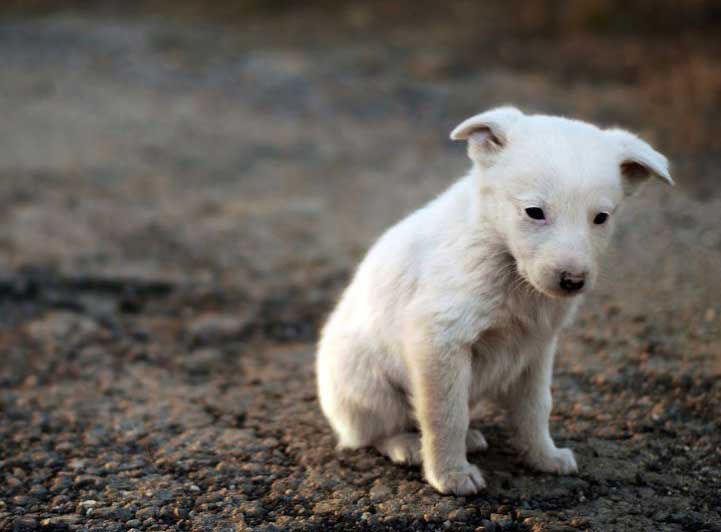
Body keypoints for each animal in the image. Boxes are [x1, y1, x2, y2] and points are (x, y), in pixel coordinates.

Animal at [316, 106, 668, 496]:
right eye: (534, 212)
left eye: (601, 218)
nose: (573, 282)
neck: (505, 260)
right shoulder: (439, 339)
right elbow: (446, 415)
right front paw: (450, 475)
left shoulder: (537, 348)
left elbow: (535, 408)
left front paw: (543, 457)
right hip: (367, 385)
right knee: (374, 431)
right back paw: (406, 445)